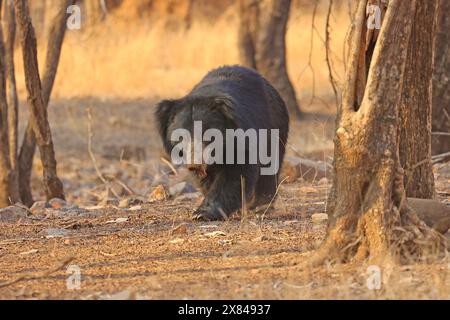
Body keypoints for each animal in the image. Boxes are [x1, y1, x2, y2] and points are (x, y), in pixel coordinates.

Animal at [155, 65, 288, 220]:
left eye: (208, 135)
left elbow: (235, 173)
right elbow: (207, 180)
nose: (195, 164)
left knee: (269, 167)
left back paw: (260, 205)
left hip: (275, 126)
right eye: (181, 137)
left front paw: (202, 213)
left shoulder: (241, 137)